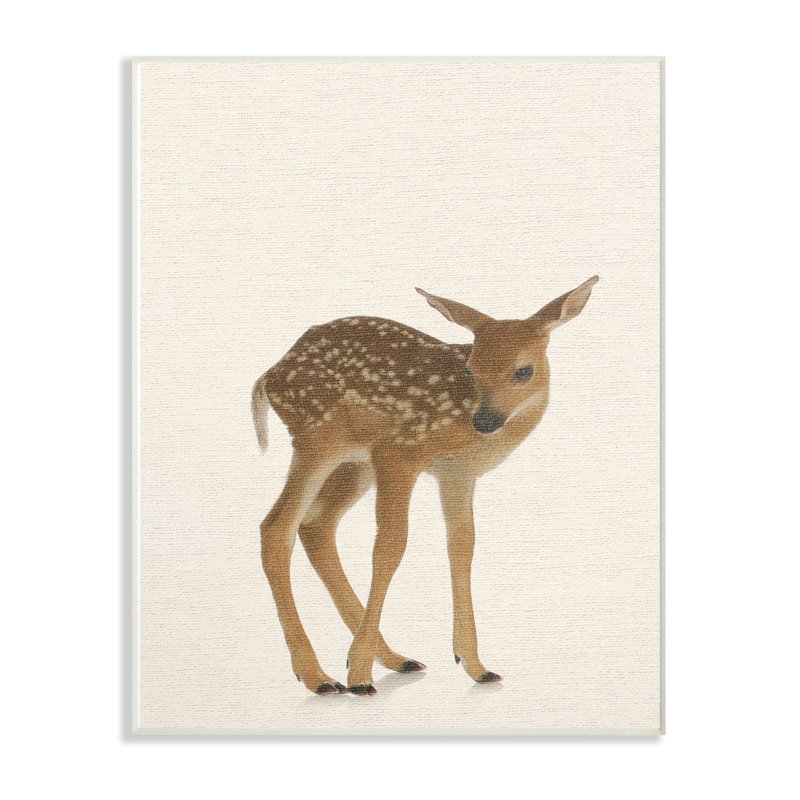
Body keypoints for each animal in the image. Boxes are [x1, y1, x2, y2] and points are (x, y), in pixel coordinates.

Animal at [251, 276, 599, 696]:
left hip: (354, 461)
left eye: (523, 371)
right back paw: (319, 676)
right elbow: (390, 546)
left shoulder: (456, 473)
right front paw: (359, 674)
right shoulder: (399, 452)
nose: (485, 421)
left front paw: (476, 665)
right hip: (318, 438)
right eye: (471, 370)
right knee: (276, 527)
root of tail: (268, 378)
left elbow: (462, 546)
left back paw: (393, 659)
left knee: (316, 523)